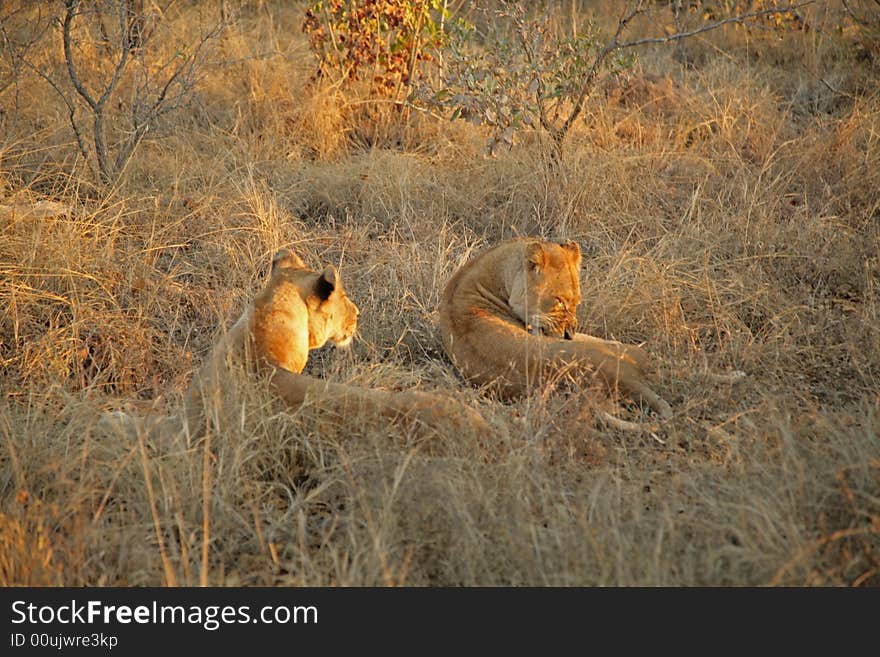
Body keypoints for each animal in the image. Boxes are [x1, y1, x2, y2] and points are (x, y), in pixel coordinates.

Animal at [440, 238, 744, 428]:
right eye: (559, 301)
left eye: (576, 302)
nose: (569, 335)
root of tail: (625, 379)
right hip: (629, 352)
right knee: (665, 364)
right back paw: (734, 375)